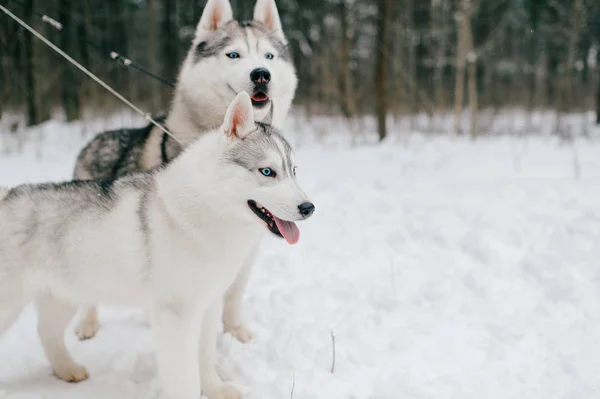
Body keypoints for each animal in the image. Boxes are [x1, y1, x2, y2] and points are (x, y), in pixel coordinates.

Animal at [0, 93, 316, 399]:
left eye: (293, 171)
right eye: (267, 172)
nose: (308, 208)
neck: (207, 214)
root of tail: (6, 195)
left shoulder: (208, 304)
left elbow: (205, 356)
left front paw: (215, 389)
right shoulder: (176, 316)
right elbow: (185, 378)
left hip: (64, 295)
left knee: (47, 332)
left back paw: (68, 370)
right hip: (15, 304)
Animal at [74, 0, 298, 344]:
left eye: (269, 56)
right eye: (233, 55)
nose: (262, 75)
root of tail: (92, 141)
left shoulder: (245, 248)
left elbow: (233, 292)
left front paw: (235, 330)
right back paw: (88, 323)